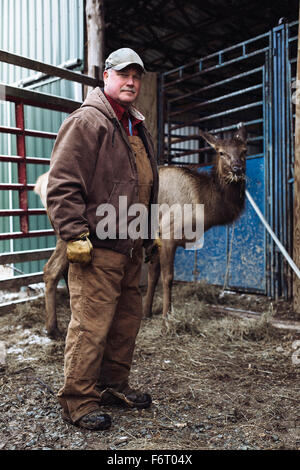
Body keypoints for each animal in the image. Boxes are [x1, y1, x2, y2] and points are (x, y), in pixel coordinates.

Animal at [142, 124, 246, 324]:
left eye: (244, 150)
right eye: (221, 152)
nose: (237, 168)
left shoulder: (156, 238)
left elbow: (153, 275)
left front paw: (148, 313)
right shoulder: (168, 233)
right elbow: (167, 277)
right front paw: (167, 315)